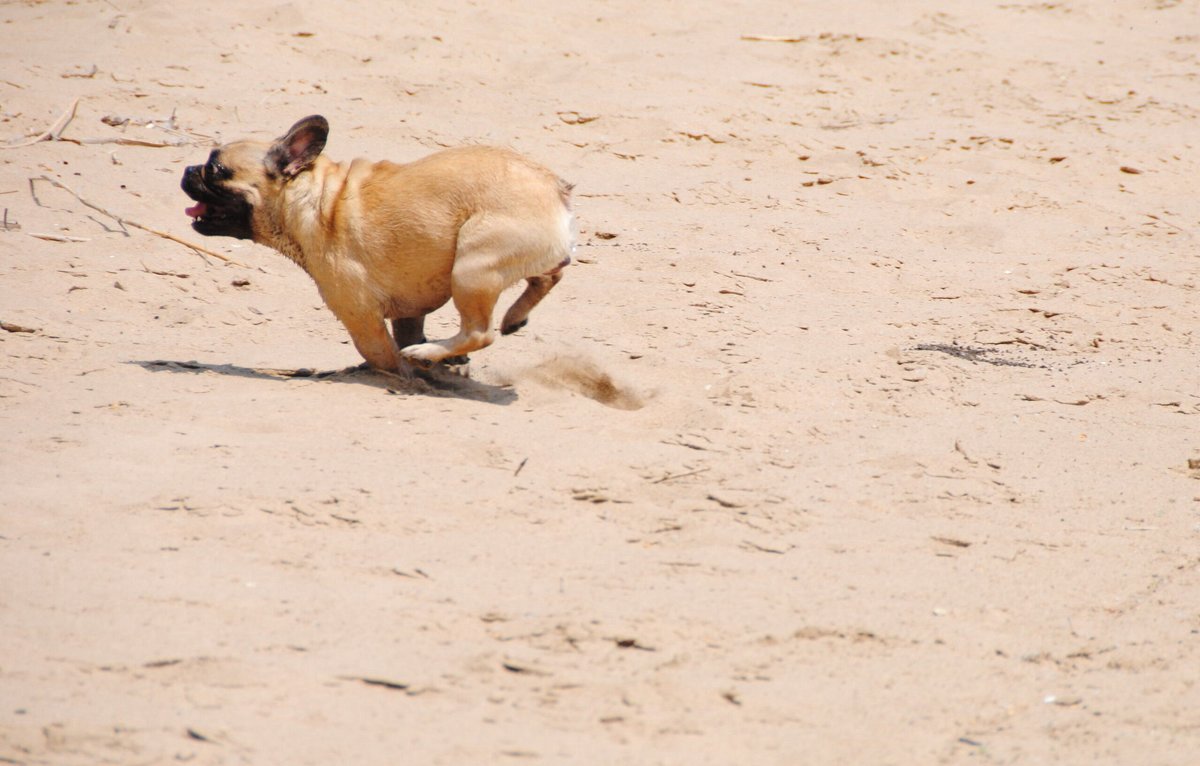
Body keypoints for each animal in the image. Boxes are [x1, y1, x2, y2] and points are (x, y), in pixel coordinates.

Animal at [180, 114, 573, 374]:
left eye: (215, 169)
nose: (188, 170)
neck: (316, 198)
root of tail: (554, 189)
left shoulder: (360, 317)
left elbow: (385, 359)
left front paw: (409, 374)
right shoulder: (408, 312)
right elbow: (406, 333)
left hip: (473, 269)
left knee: (479, 332)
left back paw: (430, 352)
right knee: (548, 276)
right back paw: (512, 318)